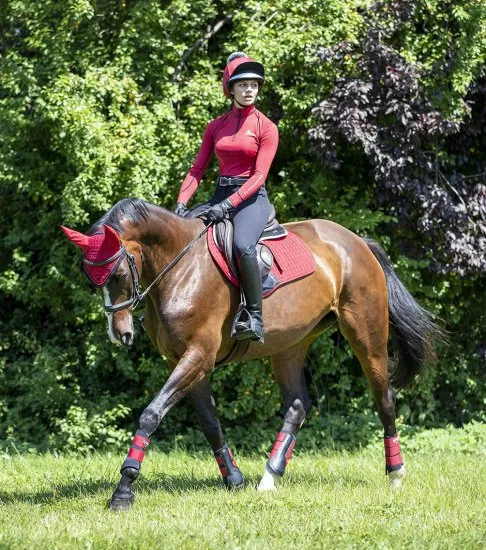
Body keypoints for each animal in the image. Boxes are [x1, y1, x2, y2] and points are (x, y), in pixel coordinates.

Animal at [60, 198, 440, 512]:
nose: (119, 334)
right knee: (298, 406)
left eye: (119, 273)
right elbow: (210, 423)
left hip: (365, 333)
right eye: (92, 279)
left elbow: (151, 414)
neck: (180, 268)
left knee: (384, 396)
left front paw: (123, 489)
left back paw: (395, 473)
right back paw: (269, 477)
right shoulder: (185, 360)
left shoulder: (197, 356)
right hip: (290, 345)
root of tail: (358, 242)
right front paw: (234, 479)